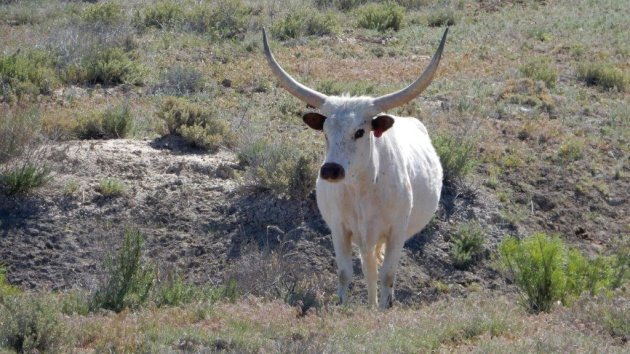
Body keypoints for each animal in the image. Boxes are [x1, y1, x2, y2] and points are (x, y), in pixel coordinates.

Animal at [262, 29, 450, 308]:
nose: (331, 170)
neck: (363, 188)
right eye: (325, 132)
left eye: (360, 132)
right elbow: (345, 272)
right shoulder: (339, 229)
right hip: (364, 238)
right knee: (368, 268)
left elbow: (388, 275)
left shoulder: (397, 231)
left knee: (375, 270)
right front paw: (343, 306)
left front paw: (384, 309)